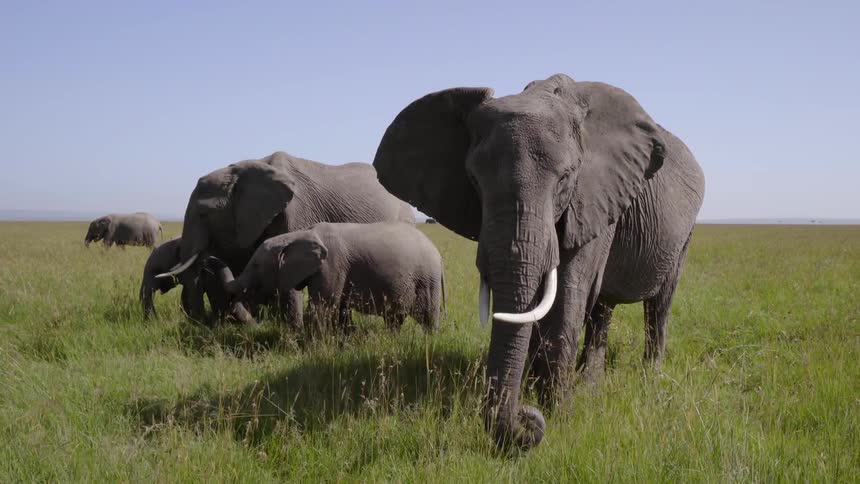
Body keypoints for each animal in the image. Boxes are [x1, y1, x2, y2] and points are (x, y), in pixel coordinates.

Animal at [225, 222, 445, 332]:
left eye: (256, 265)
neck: (298, 235)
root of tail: (438, 255)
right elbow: (340, 309)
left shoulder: (332, 264)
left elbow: (322, 307)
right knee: (395, 317)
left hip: (427, 279)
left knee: (426, 316)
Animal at [373, 74, 705, 450]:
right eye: (473, 181)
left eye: (565, 179)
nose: (526, 418)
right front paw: (539, 395)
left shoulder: (593, 196)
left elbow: (569, 295)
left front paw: (558, 413)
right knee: (603, 307)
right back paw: (590, 384)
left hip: (684, 233)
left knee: (658, 305)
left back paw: (649, 377)